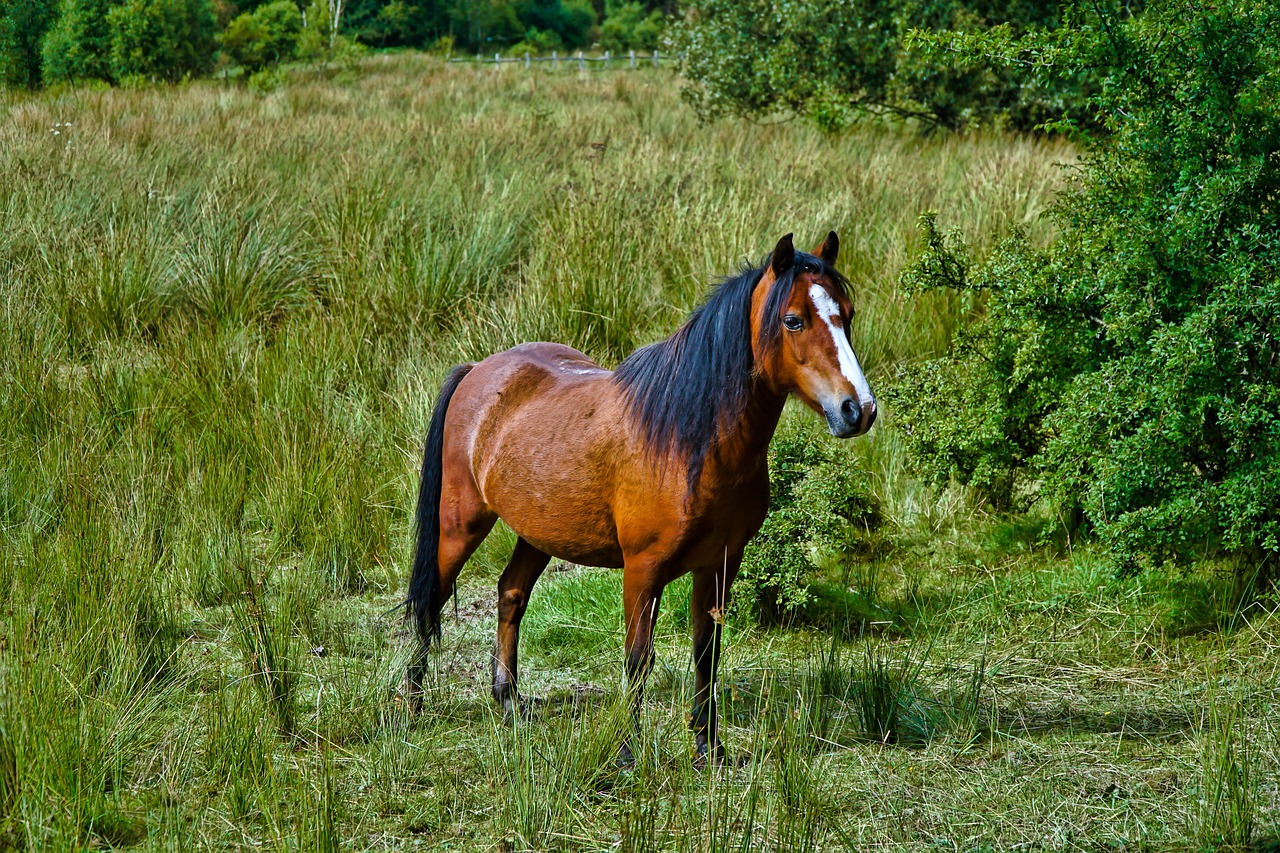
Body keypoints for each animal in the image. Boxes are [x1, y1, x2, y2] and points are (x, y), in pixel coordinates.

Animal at [404, 230, 875, 758]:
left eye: (848, 314)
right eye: (793, 320)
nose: (858, 409)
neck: (690, 440)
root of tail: (478, 371)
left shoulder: (720, 564)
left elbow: (706, 654)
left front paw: (708, 747)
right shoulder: (643, 569)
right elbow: (638, 658)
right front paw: (627, 750)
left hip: (539, 532)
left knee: (511, 594)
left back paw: (508, 702)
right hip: (460, 525)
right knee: (430, 600)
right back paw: (413, 707)